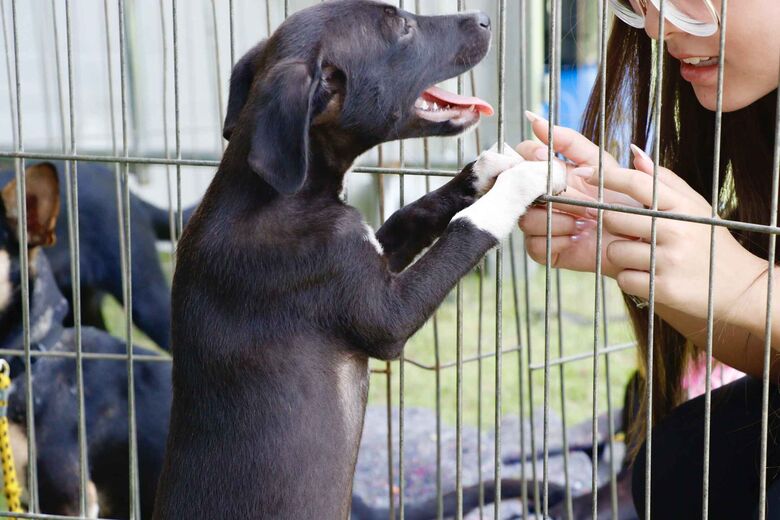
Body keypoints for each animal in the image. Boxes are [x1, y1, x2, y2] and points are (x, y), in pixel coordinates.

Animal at [154, 2, 568, 516]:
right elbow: (467, 228)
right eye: (404, 28)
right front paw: (527, 177)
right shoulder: (382, 311)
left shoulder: (372, 252)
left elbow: (416, 211)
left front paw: (489, 168)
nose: (485, 19)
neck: (275, 194)